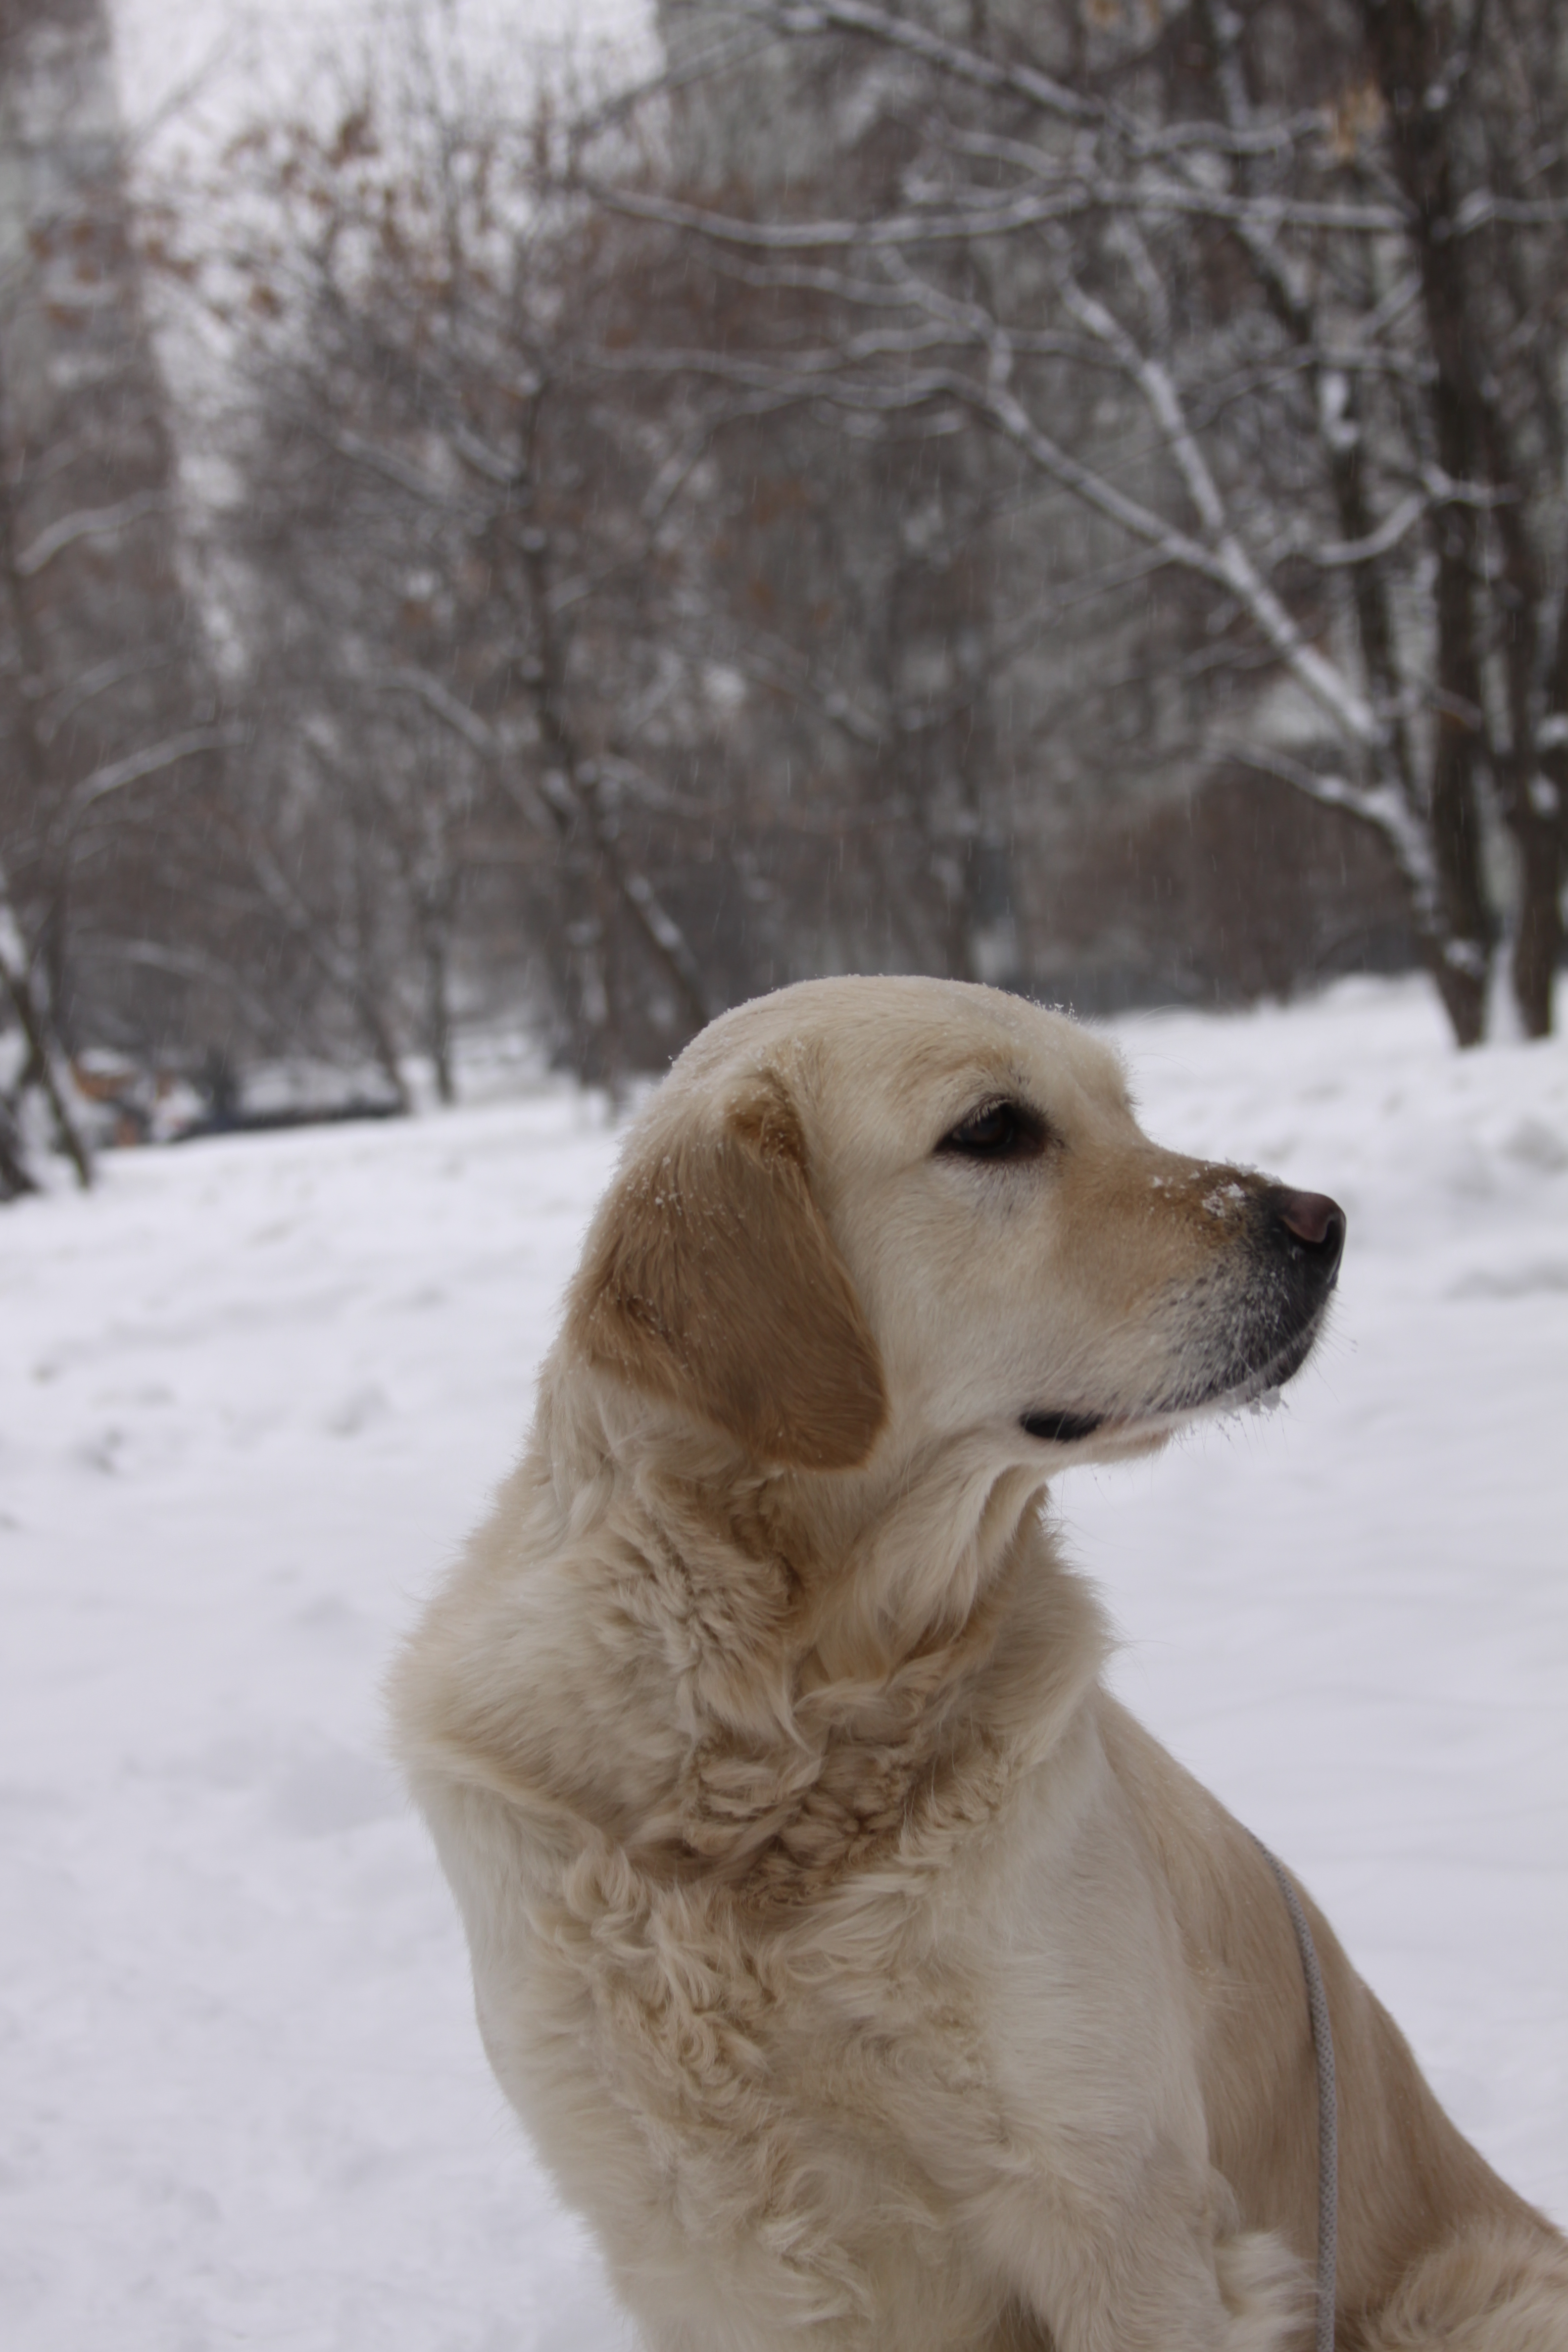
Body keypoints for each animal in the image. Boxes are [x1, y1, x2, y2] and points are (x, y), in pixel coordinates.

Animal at [392, 978, 1568, 2352]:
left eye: (1125, 1109)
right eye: (996, 1129)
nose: (1321, 1224)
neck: (787, 1733)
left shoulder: (1117, 2205)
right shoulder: (693, 2242)